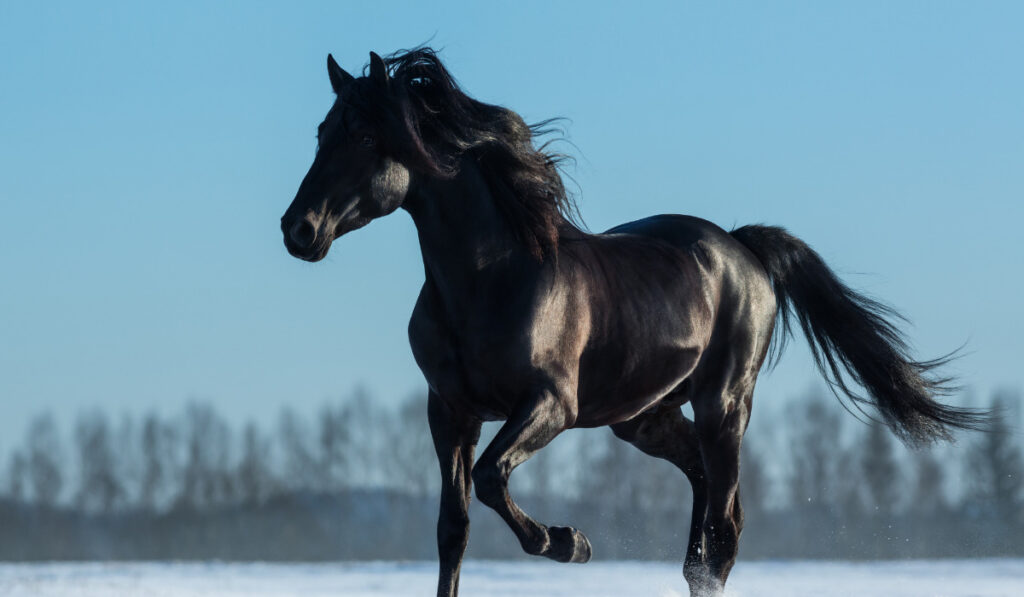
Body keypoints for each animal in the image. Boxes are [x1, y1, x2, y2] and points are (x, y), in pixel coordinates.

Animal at [280, 47, 983, 597]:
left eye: (367, 139)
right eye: (319, 133)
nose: (298, 230)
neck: (487, 280)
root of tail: (742, 247)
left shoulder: (549, 404)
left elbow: (490, 478)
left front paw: (571, 542)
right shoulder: (449, 411)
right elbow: (454, 529)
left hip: (724, 403)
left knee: (725, 527)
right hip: (644, 417)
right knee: (702, 504)